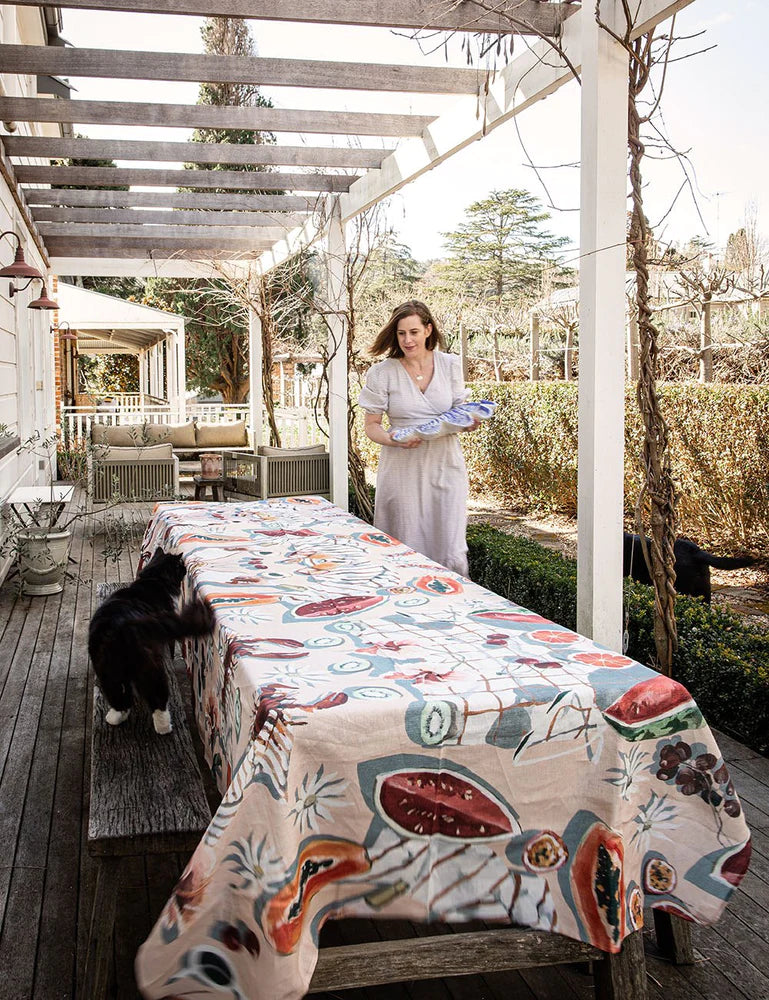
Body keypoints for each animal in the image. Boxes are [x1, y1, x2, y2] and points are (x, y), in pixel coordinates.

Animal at [89, 548, 214, 736]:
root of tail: (121, 625)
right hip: (151, 668)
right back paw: (164, 728)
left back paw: (115, 718)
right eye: (181, 565)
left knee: (119, 699)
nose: (186, 567)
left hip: (107, 671)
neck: (154, 579)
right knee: (157, 697)